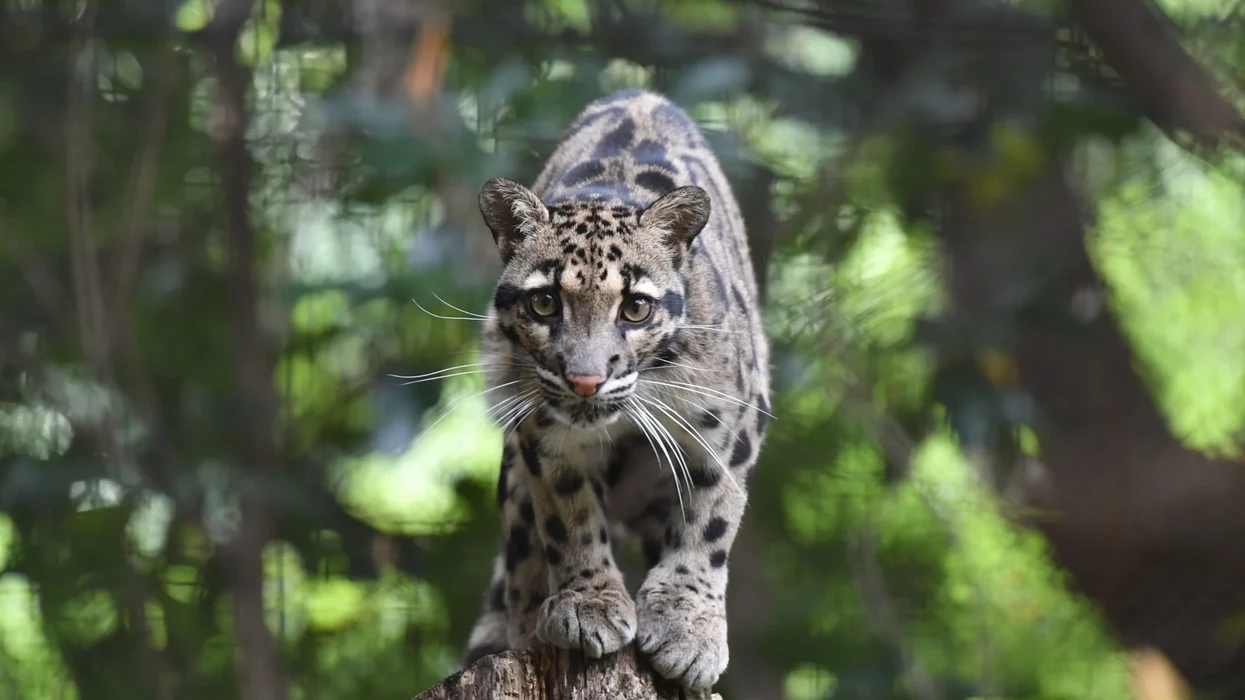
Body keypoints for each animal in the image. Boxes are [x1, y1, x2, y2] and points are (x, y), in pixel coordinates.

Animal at [459, 88, 771, 692]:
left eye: (636, 308)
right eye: (544, 303)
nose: (585, 380)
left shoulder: (733, 422)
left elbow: (710, 523)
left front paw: (688, 626)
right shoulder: (543, 432)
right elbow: (568, 518)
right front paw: (589, 605)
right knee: (521, 561)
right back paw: (531, 627)